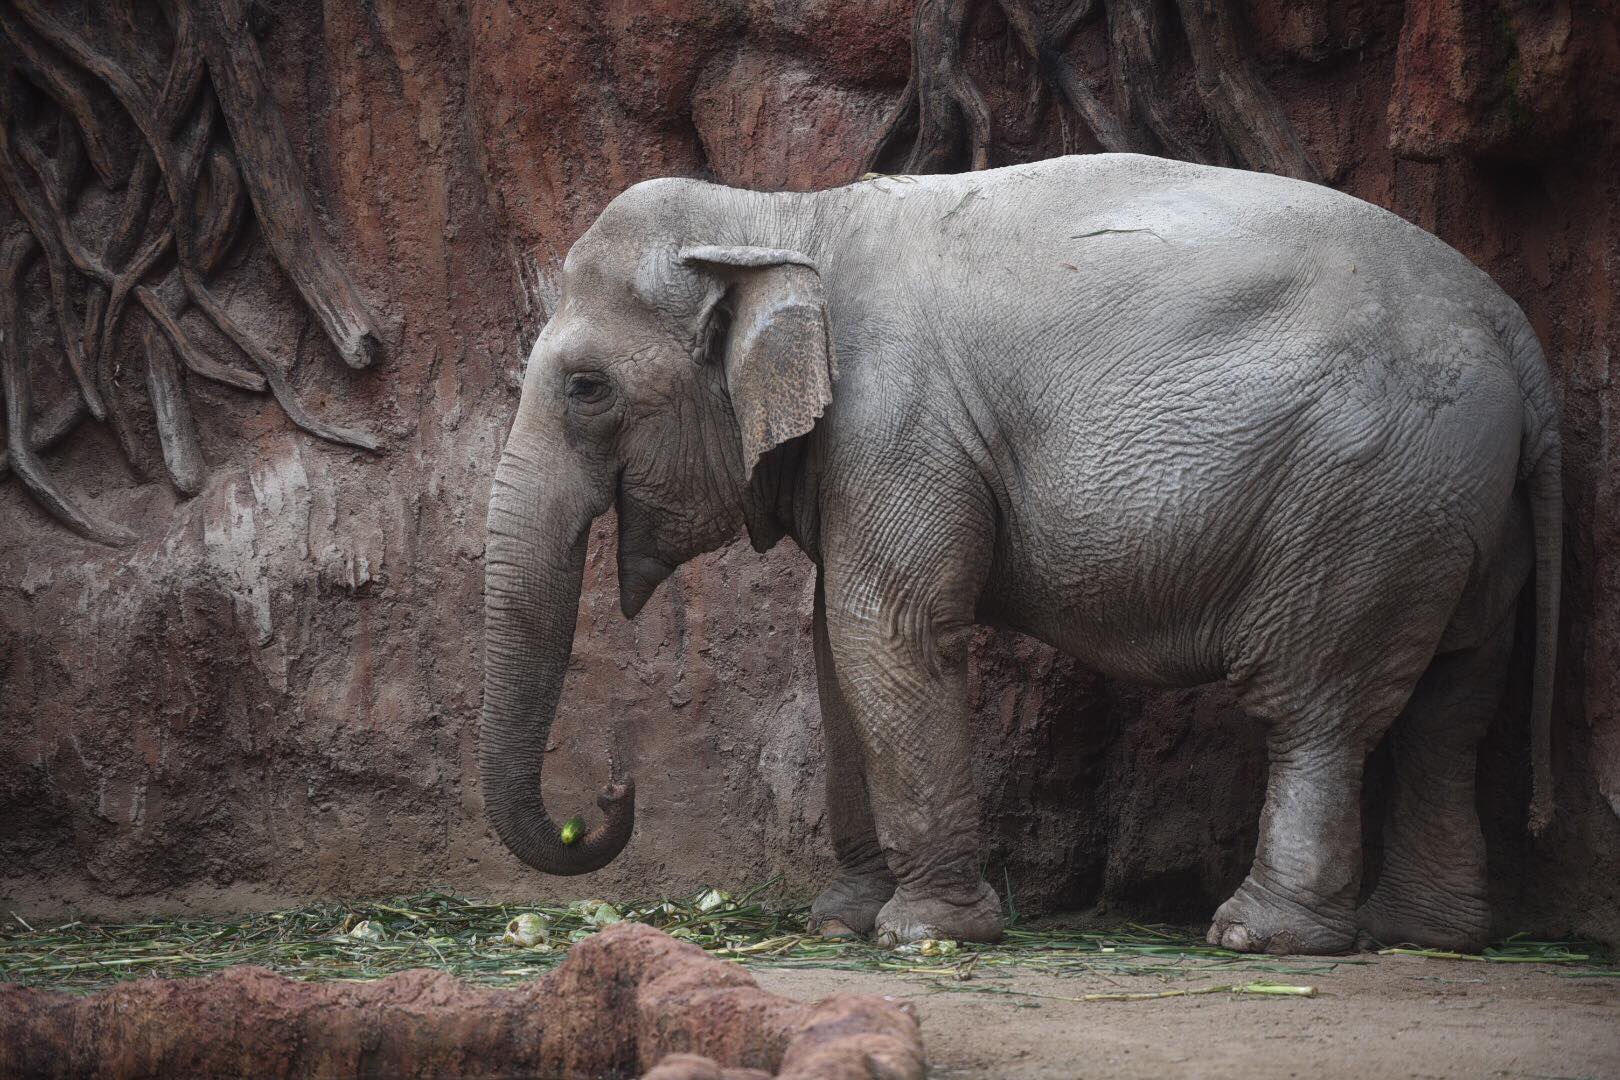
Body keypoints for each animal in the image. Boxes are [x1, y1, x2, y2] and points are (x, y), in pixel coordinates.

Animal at [476, 149, 1555, 952]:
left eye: (587, 387)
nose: (611, 790)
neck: (786, 216)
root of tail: (1510, 325)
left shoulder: (899, 421)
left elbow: (887, 630)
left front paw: (924, 933)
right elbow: (835, 646)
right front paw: (844, 922)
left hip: (1363, 492)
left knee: (1317, 706)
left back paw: (1259, 937)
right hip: (1454, 506)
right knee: (1453, 702)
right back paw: (1423, 935)